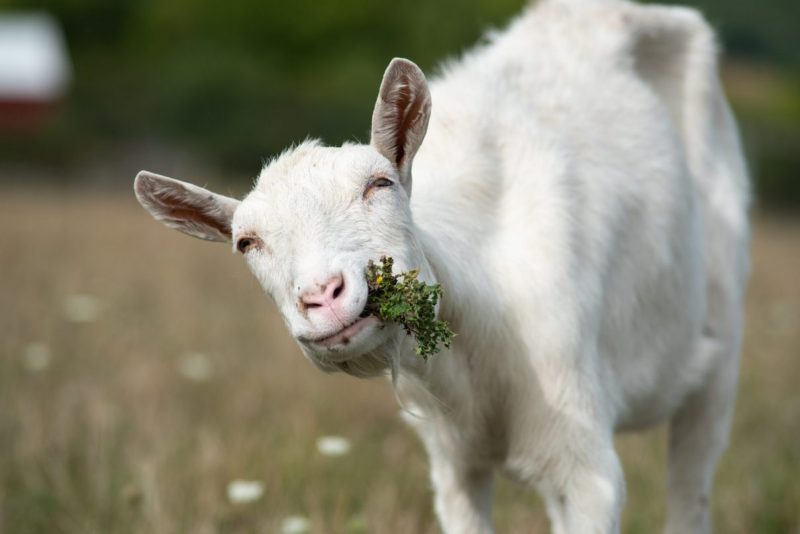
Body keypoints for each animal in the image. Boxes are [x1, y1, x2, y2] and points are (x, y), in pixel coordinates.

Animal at [133, 2, 752, 532]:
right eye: (246, 242)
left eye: (379, 183)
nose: (323, 296)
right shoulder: (453, 464)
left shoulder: (584, 464)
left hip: (719, 349)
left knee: (692, 482)